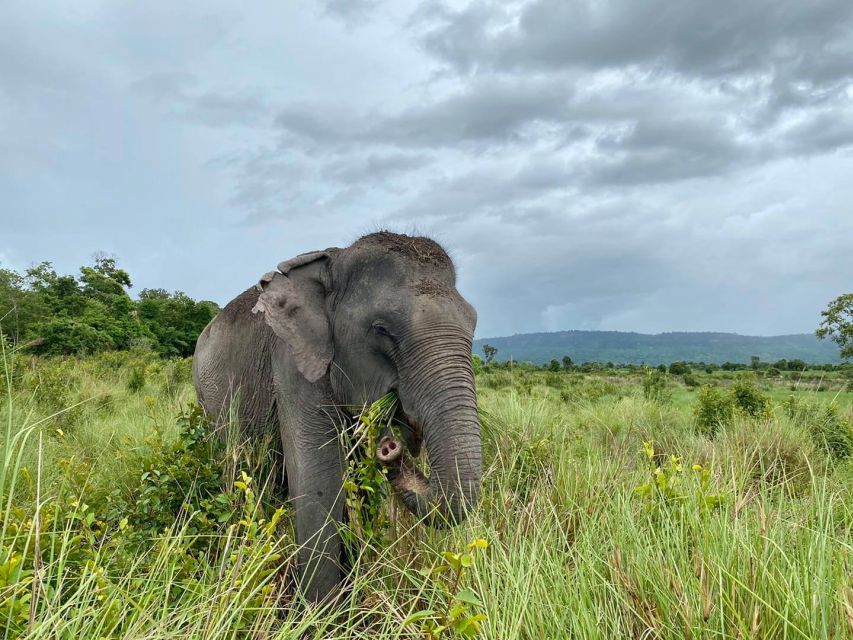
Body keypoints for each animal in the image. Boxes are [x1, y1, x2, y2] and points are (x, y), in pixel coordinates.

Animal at [194, 232, 482, 604]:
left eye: (473, 323)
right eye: (382, 329)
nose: (390, 445)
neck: (334, 263)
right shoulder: (293, 367)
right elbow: (320, 481)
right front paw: (321, 613)